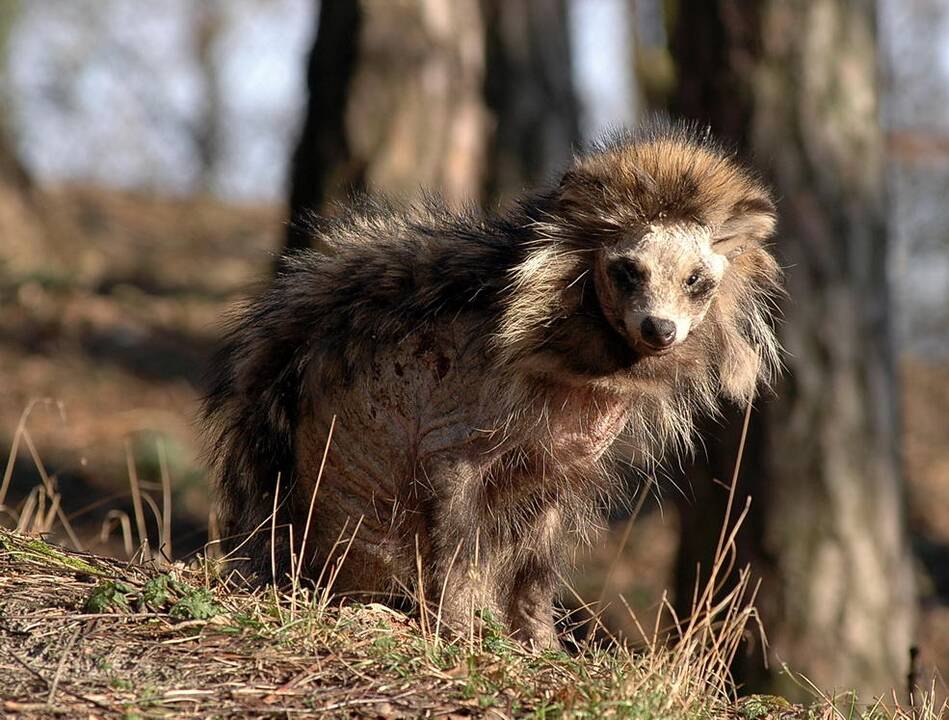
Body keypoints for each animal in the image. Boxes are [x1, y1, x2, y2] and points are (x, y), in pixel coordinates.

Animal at [204, 124, 780, 648]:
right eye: (628, 271)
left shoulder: (568, 458)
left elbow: (540, 558)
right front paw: (457, 624)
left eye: (696, 279)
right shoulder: (459, 421)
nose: (659, 329)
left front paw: (539, 639)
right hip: (354, 517)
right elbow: (456, 530)